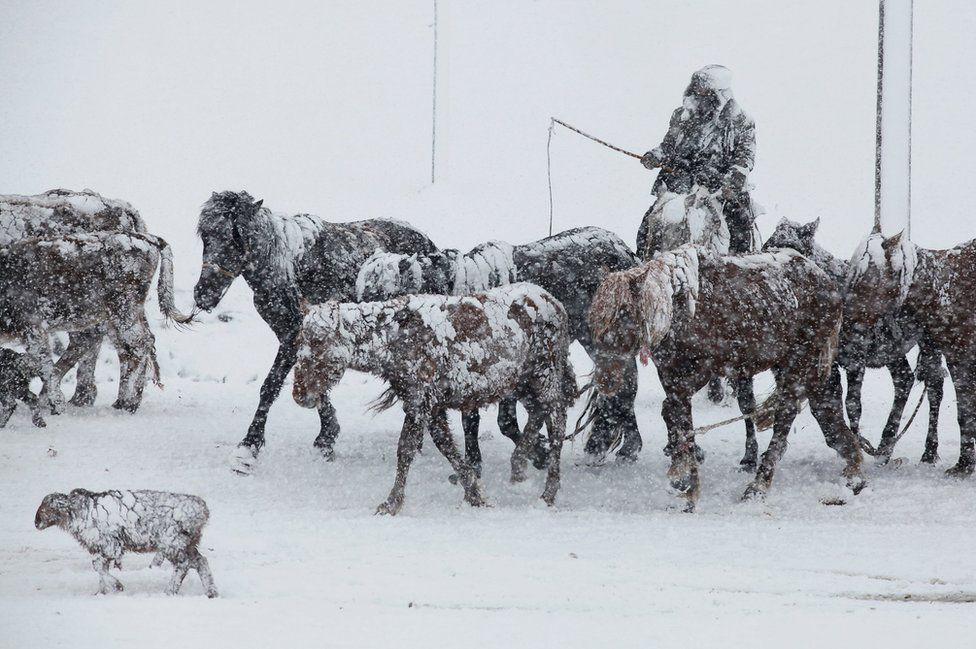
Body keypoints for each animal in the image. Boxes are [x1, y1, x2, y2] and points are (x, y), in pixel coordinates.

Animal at [192, 190, 438, 474]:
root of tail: (429, 244)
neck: (290, 269)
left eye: (236, 236)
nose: (203, 294)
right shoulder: (296, 339)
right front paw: (327, 436)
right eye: (205, 236)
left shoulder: (294, 339)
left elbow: (270, 386)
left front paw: (247, 448)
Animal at [292, 284, 577, 514]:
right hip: (523, 384)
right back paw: (521, 466)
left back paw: (547, 492)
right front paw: (475, 495)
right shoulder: (432, 404)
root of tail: (558, 306)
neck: (387, 348)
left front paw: (391, 503)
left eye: (319, 341)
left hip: (545, 375)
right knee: (540, 415)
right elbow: (446, 446)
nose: (299, 394)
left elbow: (405, 450)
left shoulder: (419, 400)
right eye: (298, 340)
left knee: (557, 419)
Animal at [355, 226, 640, 466]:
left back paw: (624, 448)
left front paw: (537, 453)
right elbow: (477, 419)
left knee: (624, 388)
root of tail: (625, 252)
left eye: (381, 296)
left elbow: (503, 421)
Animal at [588, 245, 865, 511]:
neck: (678, 310)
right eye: (595, 321)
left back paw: (758, 487)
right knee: (827, 411)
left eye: (625, 316)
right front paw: (682, 478)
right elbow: (673, 416)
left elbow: (680, 420)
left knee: (785, 420)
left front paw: (688, 488)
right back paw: (854, 473)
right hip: (803, 369)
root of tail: (827, 283)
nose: (605, 380)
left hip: (799, 365)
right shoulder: (671, 377)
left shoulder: (697, 374)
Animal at [764, 218, 945, 463]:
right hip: (892, 350)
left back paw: (929, 451)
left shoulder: (855, 358)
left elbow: (852, 404)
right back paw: (885, 446)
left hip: (929, 342)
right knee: (904, 380)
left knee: (935, 387)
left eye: (795, 249)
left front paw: (854, 444)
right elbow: (826, 404)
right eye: (767, 244)